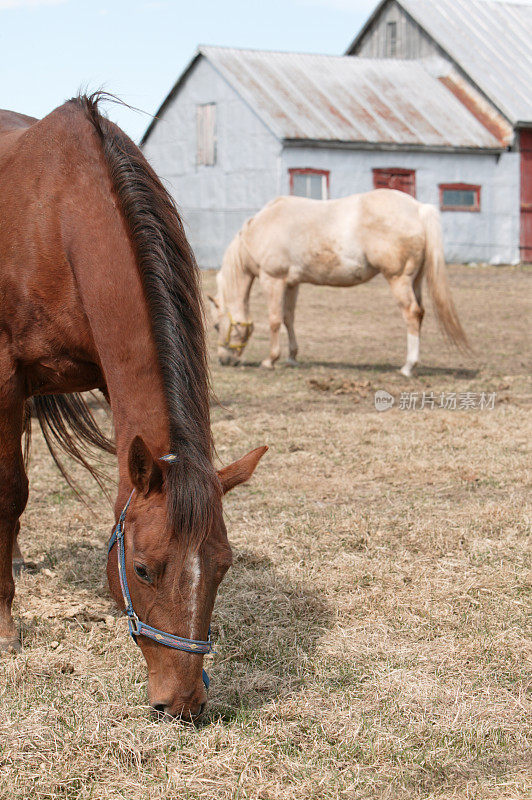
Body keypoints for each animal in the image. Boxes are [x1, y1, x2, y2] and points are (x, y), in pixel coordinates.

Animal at [0, 94, 266, 720]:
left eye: (223, 565)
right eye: (143, 569)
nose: (183, 703)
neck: (56, 217)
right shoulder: (5, 373)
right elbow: (8, 493)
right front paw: (5, 627)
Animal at [210, 191, 468, 376]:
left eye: (215, 326)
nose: (225, 360)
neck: (261, 229)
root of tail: (417, 208)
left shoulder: (272, 279)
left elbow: (274, 320)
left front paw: (270, 360)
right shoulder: (292, 283)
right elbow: (288, 318)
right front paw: (292, 358)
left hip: (398, 279)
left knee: (411, 313)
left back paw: (407, 367)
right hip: (415, 281)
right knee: (420, 312)